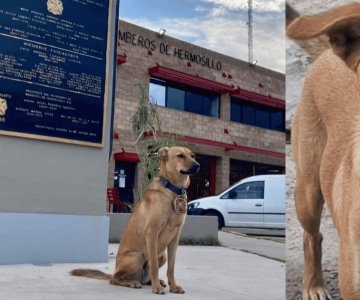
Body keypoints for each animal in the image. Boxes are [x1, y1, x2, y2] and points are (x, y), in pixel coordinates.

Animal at [70, 146, 200, 294]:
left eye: (192, 155)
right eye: (180, 156)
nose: (198, 166)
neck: (173, 190)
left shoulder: (175, 237)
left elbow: (171, 268)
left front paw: (173, 286)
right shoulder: (152, 232)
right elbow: (154, 266)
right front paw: (156, 287)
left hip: (162, 255)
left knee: (144, 277)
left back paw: (152, 281)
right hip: (137, 256)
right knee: (115, 279)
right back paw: (133, 282)